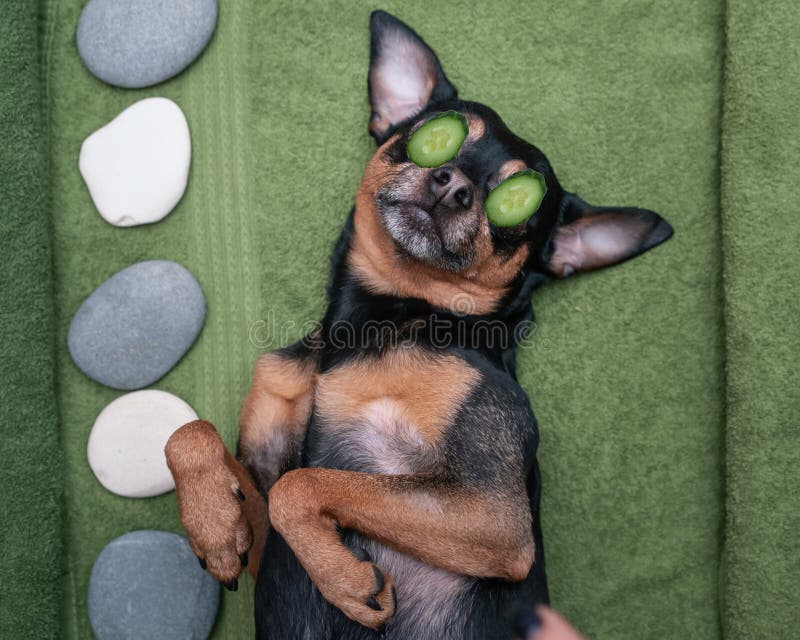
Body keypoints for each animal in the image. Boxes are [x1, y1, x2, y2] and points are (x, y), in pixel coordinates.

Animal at [166, 10, 672, 640]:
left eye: (517, 204)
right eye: (437, 134)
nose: (453, 185)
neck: (377, 320)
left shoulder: (494, 518)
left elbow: (301, 484)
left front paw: (345, 580)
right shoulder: (263, 524)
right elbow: (191, 435)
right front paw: (214, 526)